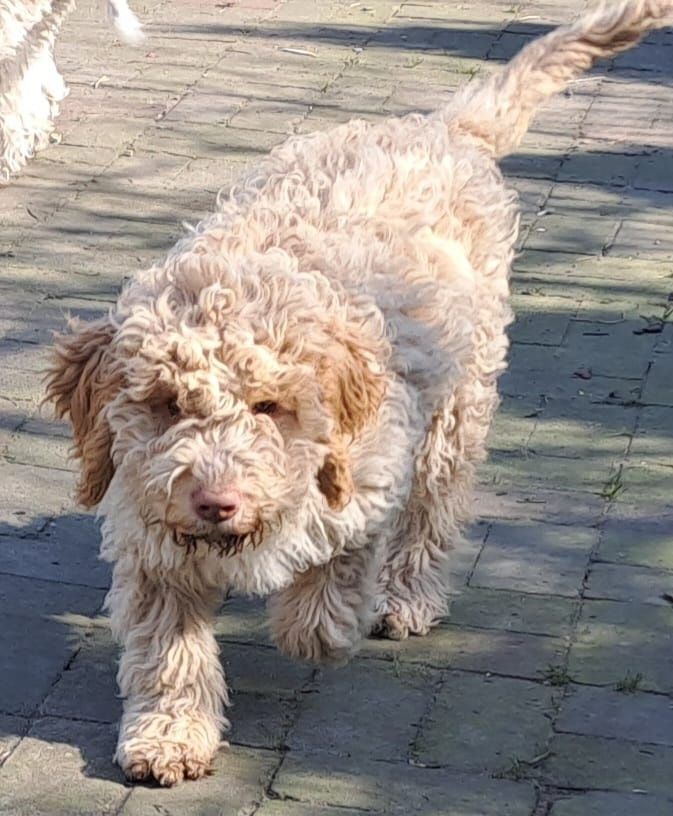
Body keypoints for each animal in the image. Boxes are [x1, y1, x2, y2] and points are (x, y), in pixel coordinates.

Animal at [47, 1, 672, 792]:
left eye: (269, 407)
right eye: (166, 404)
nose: (216, 504)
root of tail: (438, 129)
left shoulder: (369, 472)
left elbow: (326, 593)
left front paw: (320, 622)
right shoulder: (153, 539)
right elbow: (169, 651)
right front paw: (170, 735)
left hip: (456, 405)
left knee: (434, 511)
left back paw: (405, 597)